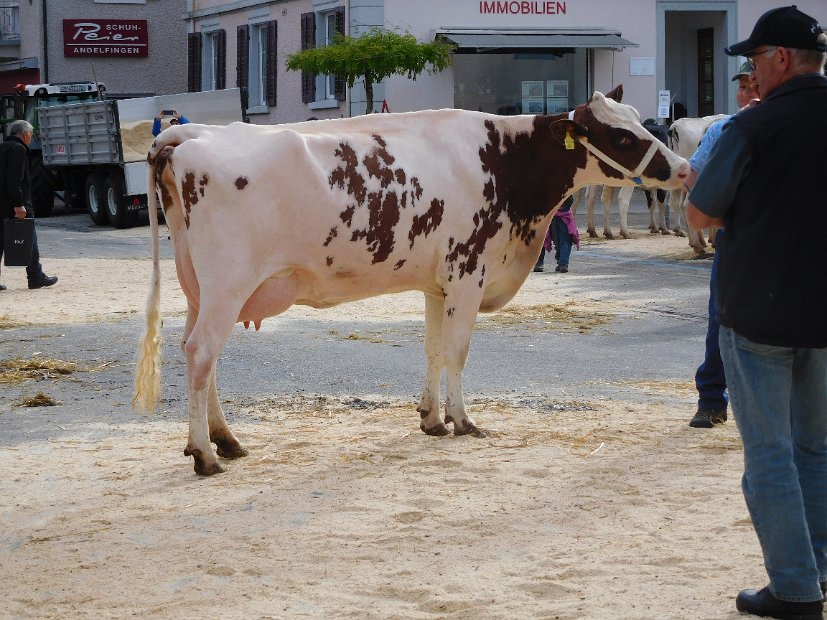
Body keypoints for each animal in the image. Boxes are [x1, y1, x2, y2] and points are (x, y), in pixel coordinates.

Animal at [134, 92, 692, 474]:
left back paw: (224, 440)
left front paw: (431, 419)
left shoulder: (436, 284)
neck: (503, 161)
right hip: (227, 284)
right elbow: (457, 351)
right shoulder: (468, 274)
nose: (685, 169)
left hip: (200, 287)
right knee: (201, 353)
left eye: (639, 122)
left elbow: (432, 348)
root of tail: (189, 135)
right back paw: (206, 455)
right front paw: (463, 421)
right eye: (622, 136)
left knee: (199, 354)